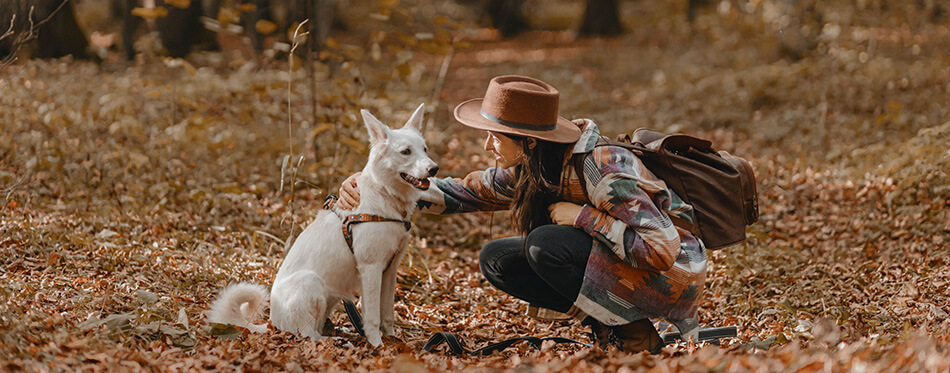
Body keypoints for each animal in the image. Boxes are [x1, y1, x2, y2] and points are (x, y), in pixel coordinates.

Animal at [208, 102, 438, 346]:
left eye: (424, 149)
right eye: (406, 151)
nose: (435, 169)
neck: (384, 195)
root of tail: (272, 323)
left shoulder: (390, 270)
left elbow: (387, 314)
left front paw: (393, 341)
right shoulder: (371, 268)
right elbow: (373, 317)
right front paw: (377, 345)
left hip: (332, 296)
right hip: (312, 283)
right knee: (309, 335)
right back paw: (336, 341)